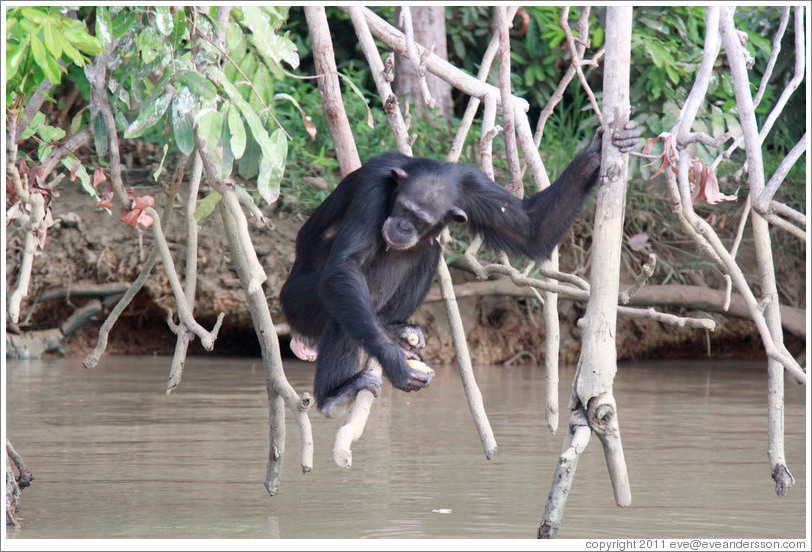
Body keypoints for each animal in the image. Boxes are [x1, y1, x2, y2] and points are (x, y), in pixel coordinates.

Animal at [280, 123, 640, 416]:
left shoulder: (475, 186)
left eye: (420, 219)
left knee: (427, 251)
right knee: (342, 304)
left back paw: (391, 327)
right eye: (403, 208)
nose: (402, 226)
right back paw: (335, 395)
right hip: (298, 304)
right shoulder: (371, 190)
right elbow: (347, 267)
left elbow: (531, 228)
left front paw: (597, 150)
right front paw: (395, 363)